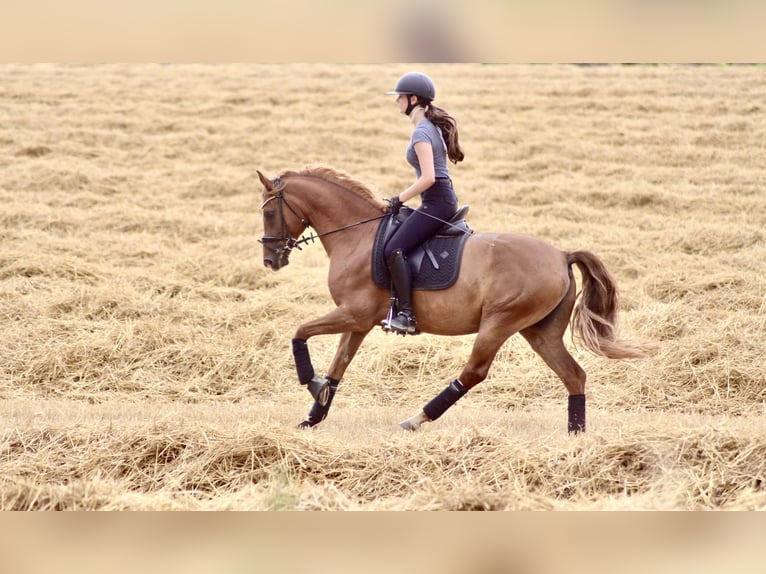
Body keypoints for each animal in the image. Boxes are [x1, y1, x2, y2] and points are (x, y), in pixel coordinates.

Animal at [257, 166, 652, 433]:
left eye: (268, 212)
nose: (270, 260)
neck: (358, 235)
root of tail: (561, 255)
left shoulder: (353, 314)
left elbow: (300, 332)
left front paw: (311, 383)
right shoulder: (359, 322)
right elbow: (338, 365)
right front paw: (313, 415)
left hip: (500, 322)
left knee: (474, 371)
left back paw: (417, 418)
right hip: (540, 333)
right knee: (574, 376)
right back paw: (576, 437)